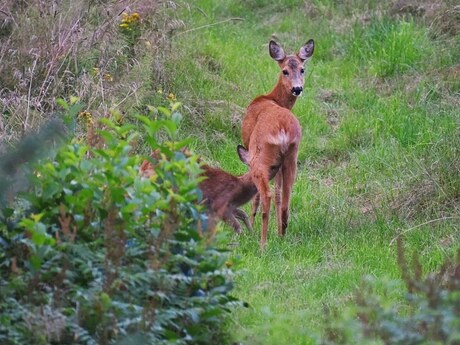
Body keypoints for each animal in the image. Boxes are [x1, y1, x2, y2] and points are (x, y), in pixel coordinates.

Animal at [241, 39, 312, 247]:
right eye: (285, 71)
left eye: (303, 69)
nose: (297, 88)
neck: (272, 98)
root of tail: (282, 129)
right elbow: (280, 195)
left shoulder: (248, 148)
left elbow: (257, 194)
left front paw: (252, 226)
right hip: (292, 156)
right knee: (286, 198)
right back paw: (281, 237)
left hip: (261, 156)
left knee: (266, 194)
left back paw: (262, 243)